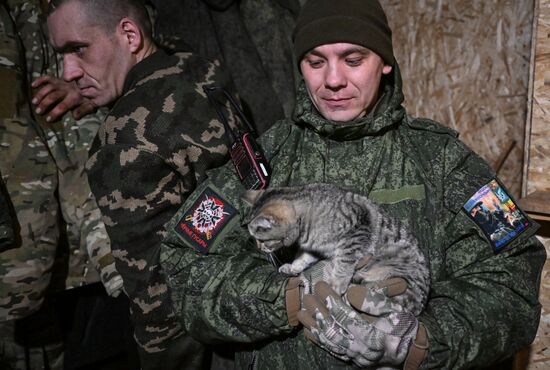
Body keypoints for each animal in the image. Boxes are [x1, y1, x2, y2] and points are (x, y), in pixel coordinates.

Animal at [248, 182, 434, 316]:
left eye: (261, 239)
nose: (257, 246)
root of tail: (418, 307)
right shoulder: (312, 248)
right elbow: (302, 258)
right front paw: (293, 267)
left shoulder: (357, 230)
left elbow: (344, 263)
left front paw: (335, 285)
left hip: (400, 276)